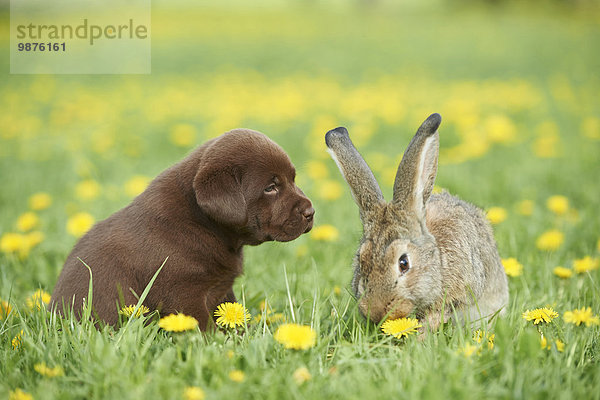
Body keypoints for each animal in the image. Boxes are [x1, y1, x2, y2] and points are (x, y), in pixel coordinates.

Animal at [50, 130, 314, 330]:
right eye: (270, 187)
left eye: (293, 179)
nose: (311, 212)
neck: (202, 223)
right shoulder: (183, 295)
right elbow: (203, 327)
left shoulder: (221, 289)